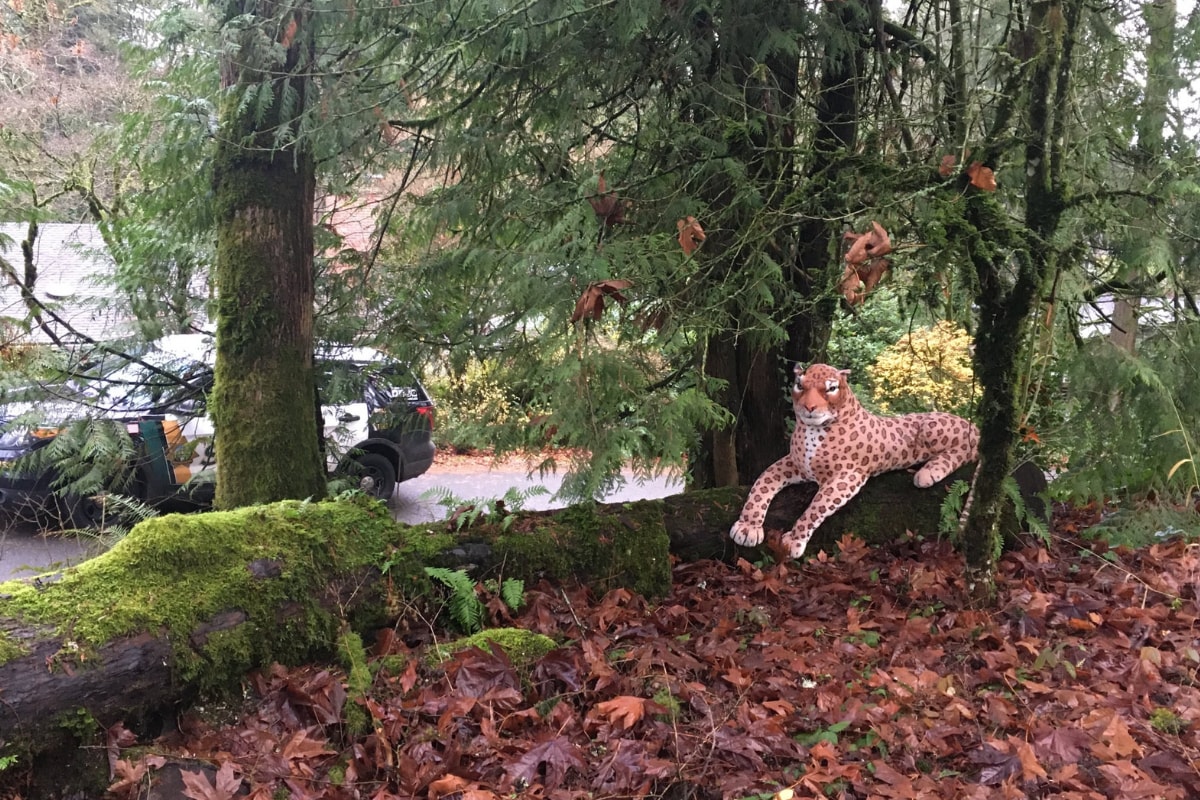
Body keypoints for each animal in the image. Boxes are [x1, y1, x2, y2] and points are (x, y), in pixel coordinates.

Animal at [730, 363, 980, 559]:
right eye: (800, 385)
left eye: (831, 388)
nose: (809, 408)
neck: (811, 430)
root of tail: (972, 425)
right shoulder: (795, 463)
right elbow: (762, 483)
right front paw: (747, 528)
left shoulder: (848, 477)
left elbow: (816, 507)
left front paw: (794, 540)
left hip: (932, 428)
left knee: (967, 451)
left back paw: (928, 472)